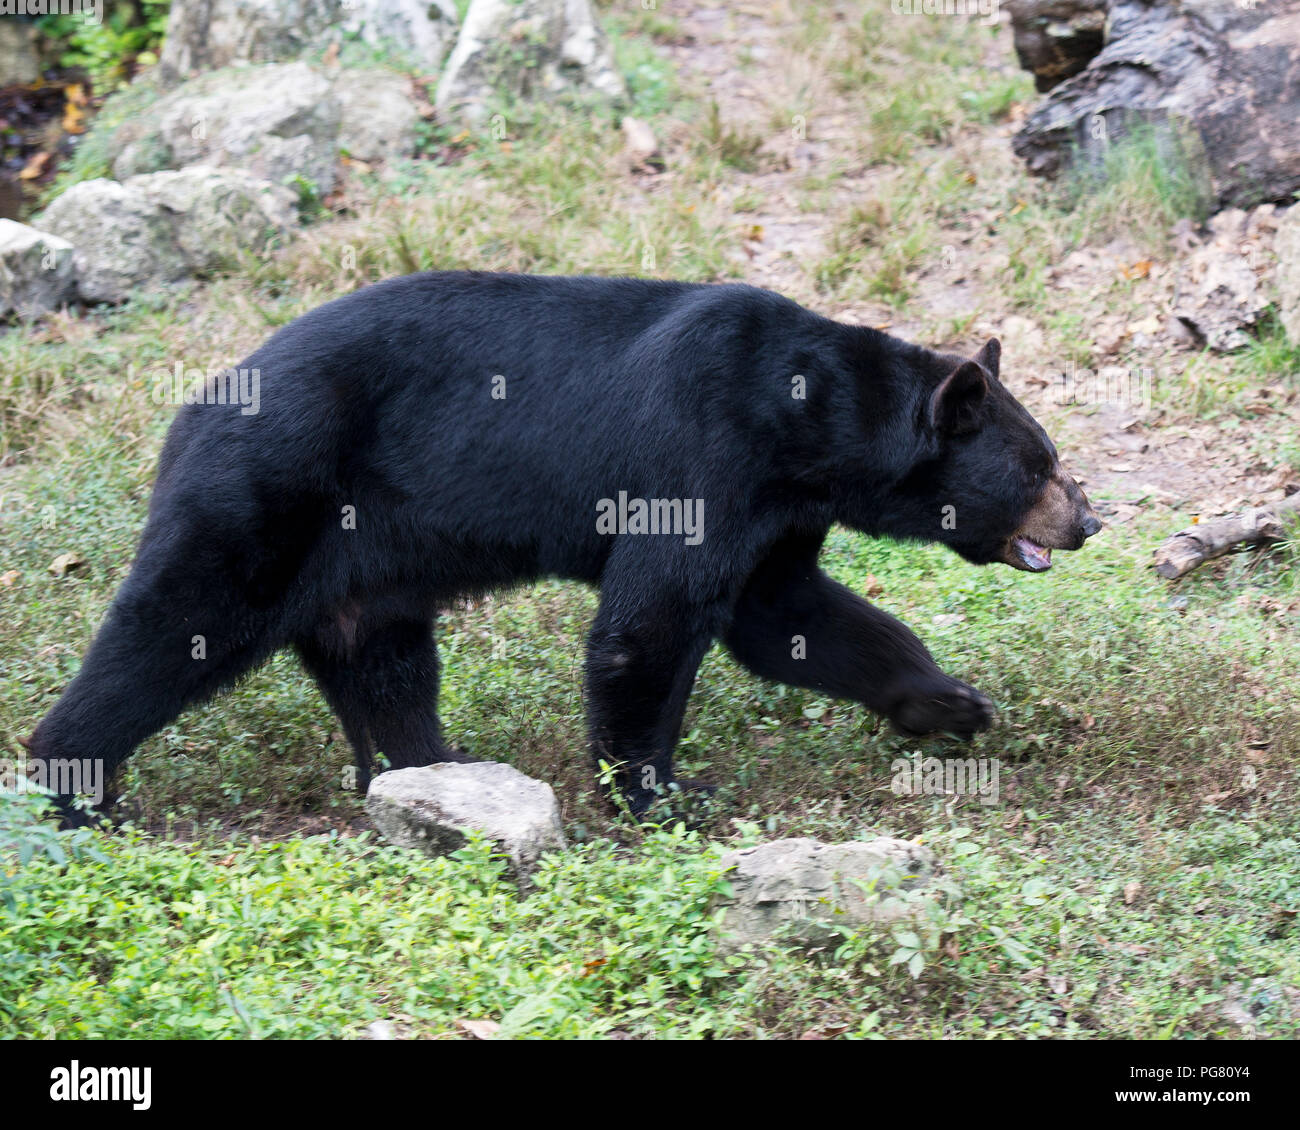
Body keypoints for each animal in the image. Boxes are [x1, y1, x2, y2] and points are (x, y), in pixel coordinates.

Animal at [22, 273, 1097, 821]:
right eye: (1040, 464)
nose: (1087, 519)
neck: (807, 419)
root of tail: (191, 410)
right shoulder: (703, 454)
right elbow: (650, 628)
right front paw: (661, 794)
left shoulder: (776, 510)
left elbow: (788, 616)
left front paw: (950, 703)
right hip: (263, 493)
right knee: (175, 625)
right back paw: (74, 786)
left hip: (365, 557)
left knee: (383, 664)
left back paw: (431, 774)